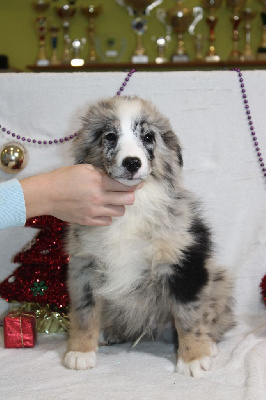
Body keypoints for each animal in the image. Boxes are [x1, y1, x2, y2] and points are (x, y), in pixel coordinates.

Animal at [63, 95, 234, 376]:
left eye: (148, 137)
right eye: (110, 136)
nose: (132, 162)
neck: (131, 204)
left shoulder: (184, 262)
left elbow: (189, 314)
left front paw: (194, 357)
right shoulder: (84, 264)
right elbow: (84, 311)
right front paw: (80, 351)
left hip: (219, 279)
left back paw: (209, 343)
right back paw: (109, 332)